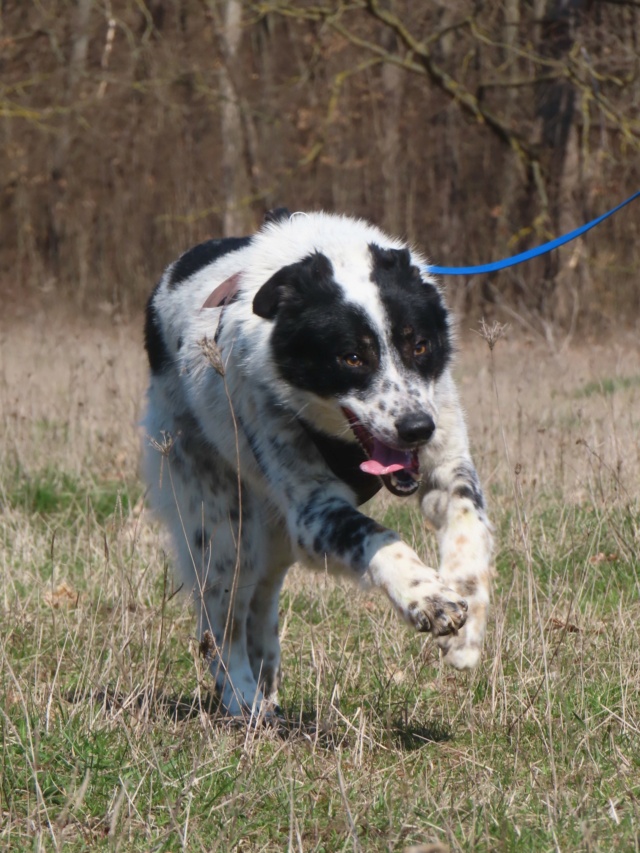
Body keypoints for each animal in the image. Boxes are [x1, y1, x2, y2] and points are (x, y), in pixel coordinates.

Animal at [142, 210, 492, 716]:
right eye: (352, 357)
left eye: (420, 346)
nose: (416, 429)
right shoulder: (314, 511)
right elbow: (378, 537)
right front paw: (425, 595)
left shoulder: (445, 465)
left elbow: (468, 523)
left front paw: (465, 621)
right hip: (224, 531)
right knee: (220, 621)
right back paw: (243, 700)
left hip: (273, 542)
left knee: (261, 604)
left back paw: (267, 686)